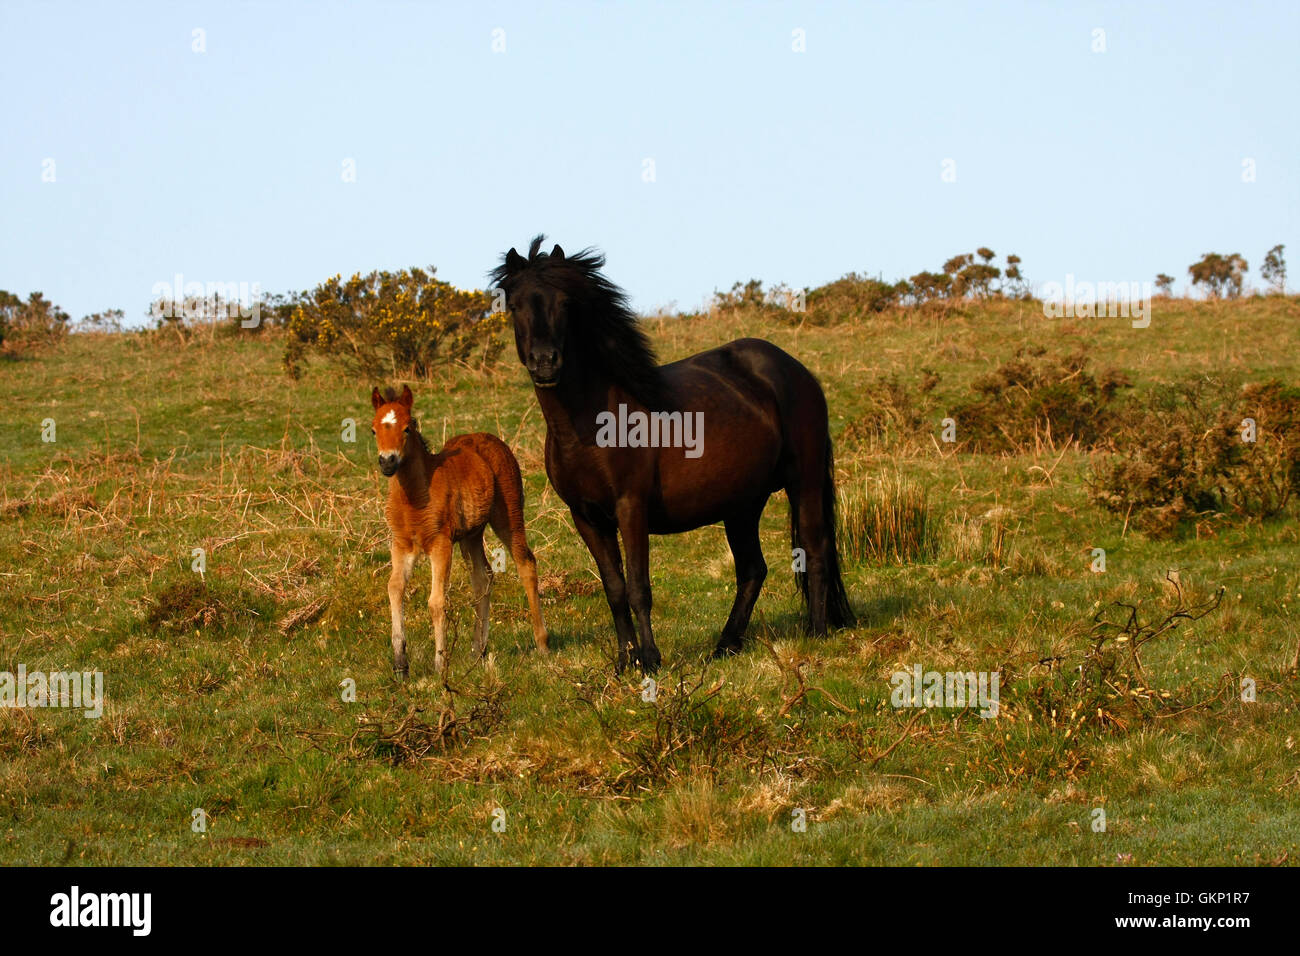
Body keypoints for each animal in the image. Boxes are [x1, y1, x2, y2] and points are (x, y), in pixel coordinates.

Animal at [488, 238, 852, 671]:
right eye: (513, 305)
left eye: (565, 303)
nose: (545, 362)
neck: (590, 426)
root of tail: (794, 370)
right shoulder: (586, 518)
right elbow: (614, 589)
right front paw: (624, 661)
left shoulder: (631, 508)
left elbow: (638, 588)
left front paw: (649, 659)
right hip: (742, 504)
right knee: (752, 569)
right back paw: (725, 646)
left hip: (805, 482)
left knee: (814, 550)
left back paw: (816, 633)